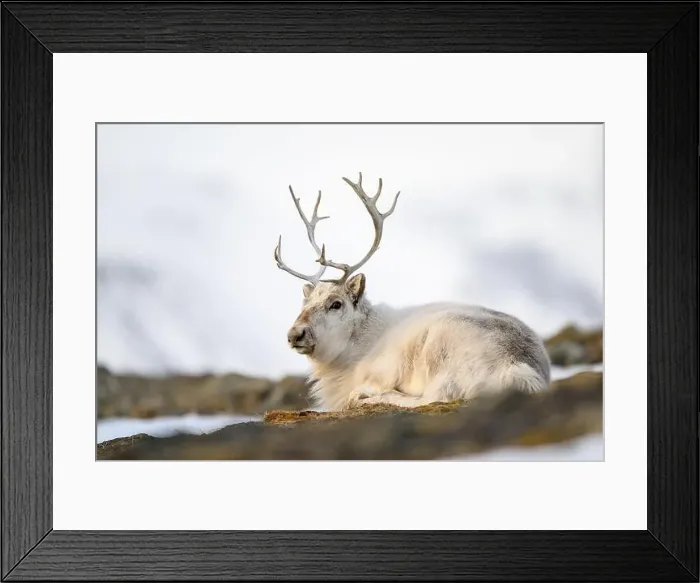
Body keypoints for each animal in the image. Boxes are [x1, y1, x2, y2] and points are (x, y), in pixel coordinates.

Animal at [274, 173, 551, 411]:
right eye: (305, 302)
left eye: (336, 303)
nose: (295, 334)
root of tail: (519, 369)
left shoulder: (380, 372)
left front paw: (364, 394)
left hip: (442, 350)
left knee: (433, 398)